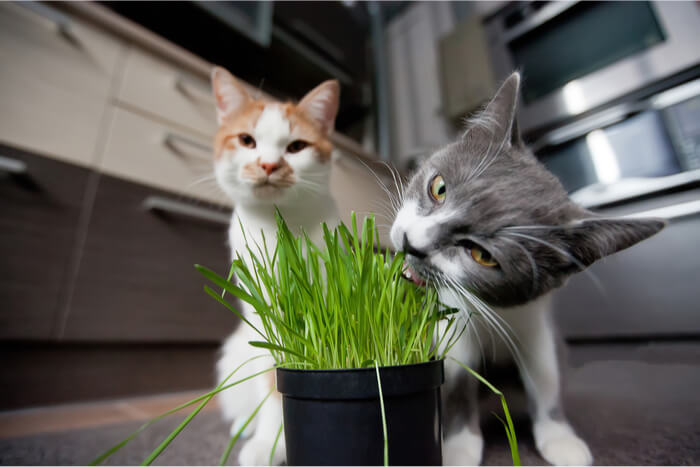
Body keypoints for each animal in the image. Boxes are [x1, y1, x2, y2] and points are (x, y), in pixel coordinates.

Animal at [209, 67, 340, 466]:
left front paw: (275, 443)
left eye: (296, 147)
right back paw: (244, 426)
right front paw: (268, 443)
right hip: (234, 353)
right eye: (247, 141)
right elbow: (272, 385)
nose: (268, 164)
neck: (279, 228)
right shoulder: (263, 316)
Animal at [392, 72, 664, 464]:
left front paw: (561, 438)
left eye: (482, 255)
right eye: (438, 188)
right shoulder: (454, 323)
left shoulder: (537, 323)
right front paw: (458, 447)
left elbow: (546, 375)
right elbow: (457, 381)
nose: (411, 242)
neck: (493, 311)